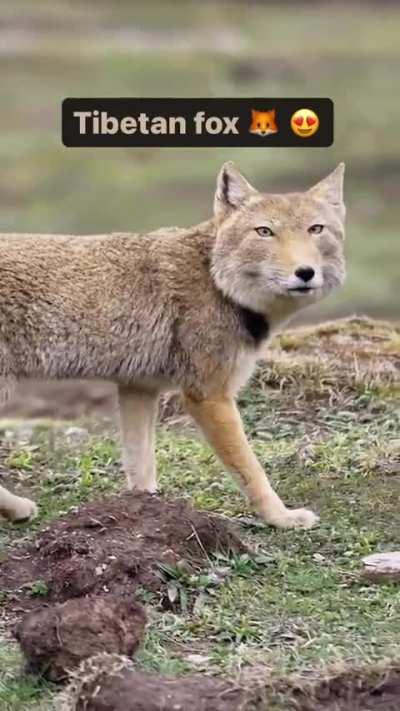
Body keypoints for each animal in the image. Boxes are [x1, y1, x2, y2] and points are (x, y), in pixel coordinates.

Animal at [0, 162, 345, 529]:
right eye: (264, 232)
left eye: (316, 229)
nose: (305, 272)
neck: (215, 279)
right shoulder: (208, 396)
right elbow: (252, 471)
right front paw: (281, 517)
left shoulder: (138, 387)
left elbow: (141, 464)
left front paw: (146, 512)